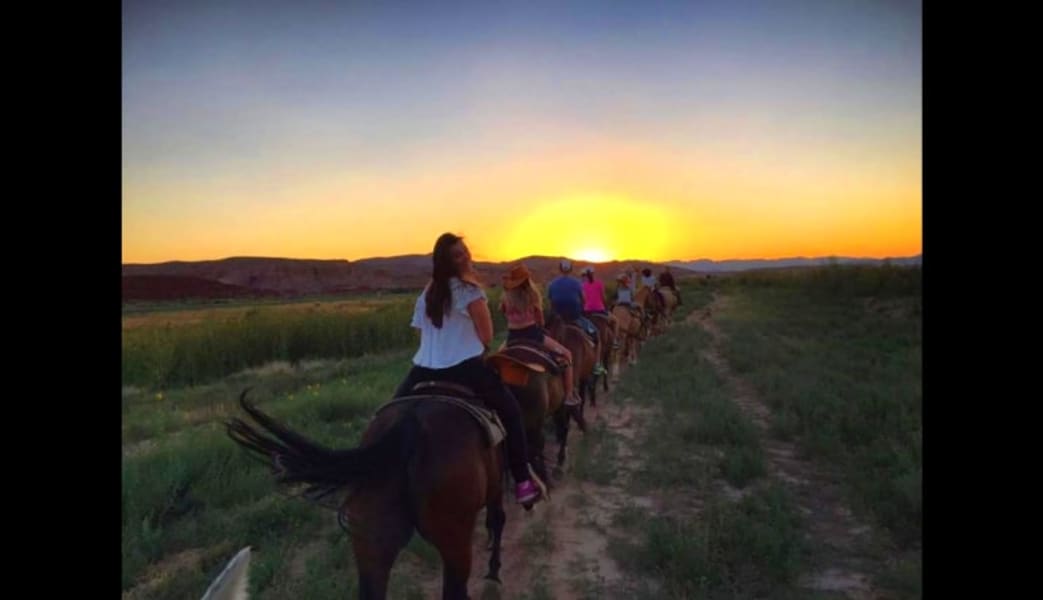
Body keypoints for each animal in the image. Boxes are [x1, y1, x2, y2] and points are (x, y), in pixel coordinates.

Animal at [226, 390, 506, 600]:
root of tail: (409, 424)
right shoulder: (496, 488)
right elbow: (498, 520)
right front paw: (494, 573)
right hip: (454, 540)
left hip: (372, 539)